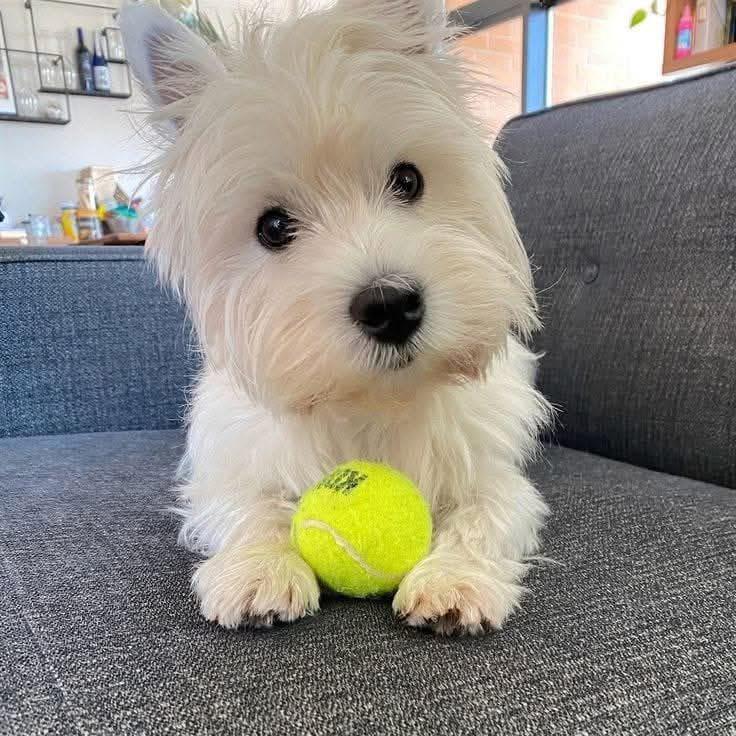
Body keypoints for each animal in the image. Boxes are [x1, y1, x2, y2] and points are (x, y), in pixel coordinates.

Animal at [121, 0, 550, 635]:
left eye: (408, 179)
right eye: (273, 227)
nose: (390, 305)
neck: (372, 401)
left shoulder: (493, 473)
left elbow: (486, 511)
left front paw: (455, 580)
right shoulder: (234, 466)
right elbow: (250, 505)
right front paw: (259, 571)